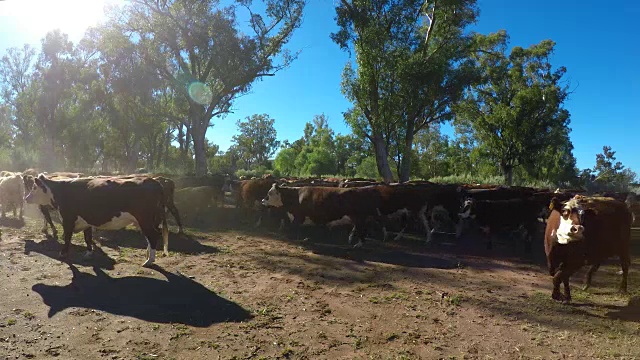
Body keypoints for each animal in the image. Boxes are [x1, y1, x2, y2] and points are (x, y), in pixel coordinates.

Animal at [26, 174, 169, 268]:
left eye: (34, 188)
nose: (26, 198)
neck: (61, 190)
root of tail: (154, 181)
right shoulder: (86, 221)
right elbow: (88, 238)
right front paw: (89, 253)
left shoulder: (68, 219)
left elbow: (67, 238)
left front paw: (63, 253)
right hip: (148, 220)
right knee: (151, 237)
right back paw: (148, 256)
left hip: (144, 219)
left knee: (153, 235)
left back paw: (149, 261)